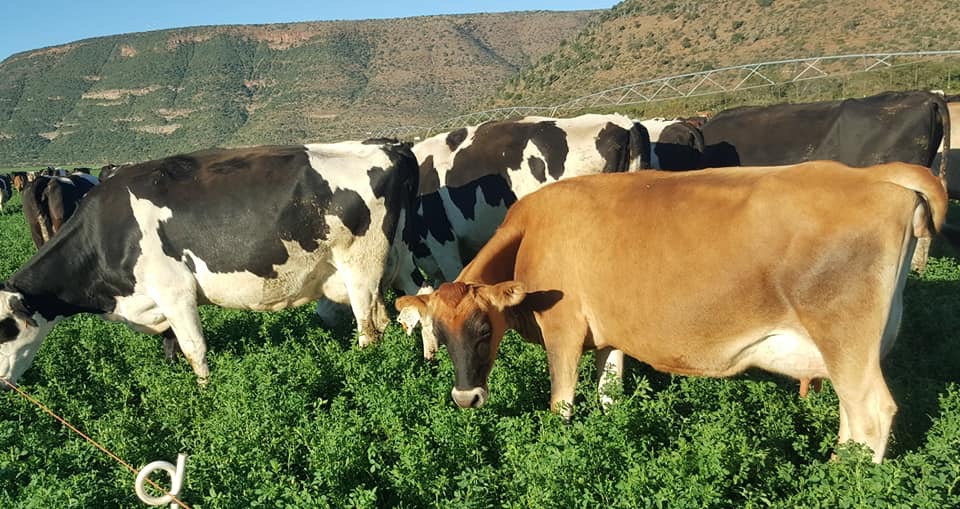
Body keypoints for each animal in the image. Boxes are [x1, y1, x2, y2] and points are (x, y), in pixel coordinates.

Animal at [0, 139, 419, 387]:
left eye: (4, 330)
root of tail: (390, 145)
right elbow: (171, 346)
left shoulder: (175, 290)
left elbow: (193, 349)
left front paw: (204, 395)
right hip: (401, 260)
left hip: (361, 268)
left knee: (370, 328)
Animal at [396, 161, 947, 464]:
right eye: (438, 334)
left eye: (483, 329)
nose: (464, 398)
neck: (532, 231)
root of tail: (878, 176)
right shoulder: (609, 336)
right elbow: (609, 396)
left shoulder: (564, 330)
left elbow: (562, 404)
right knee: (853, 418)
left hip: (845, 339)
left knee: (870, 415)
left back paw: (841, 477)